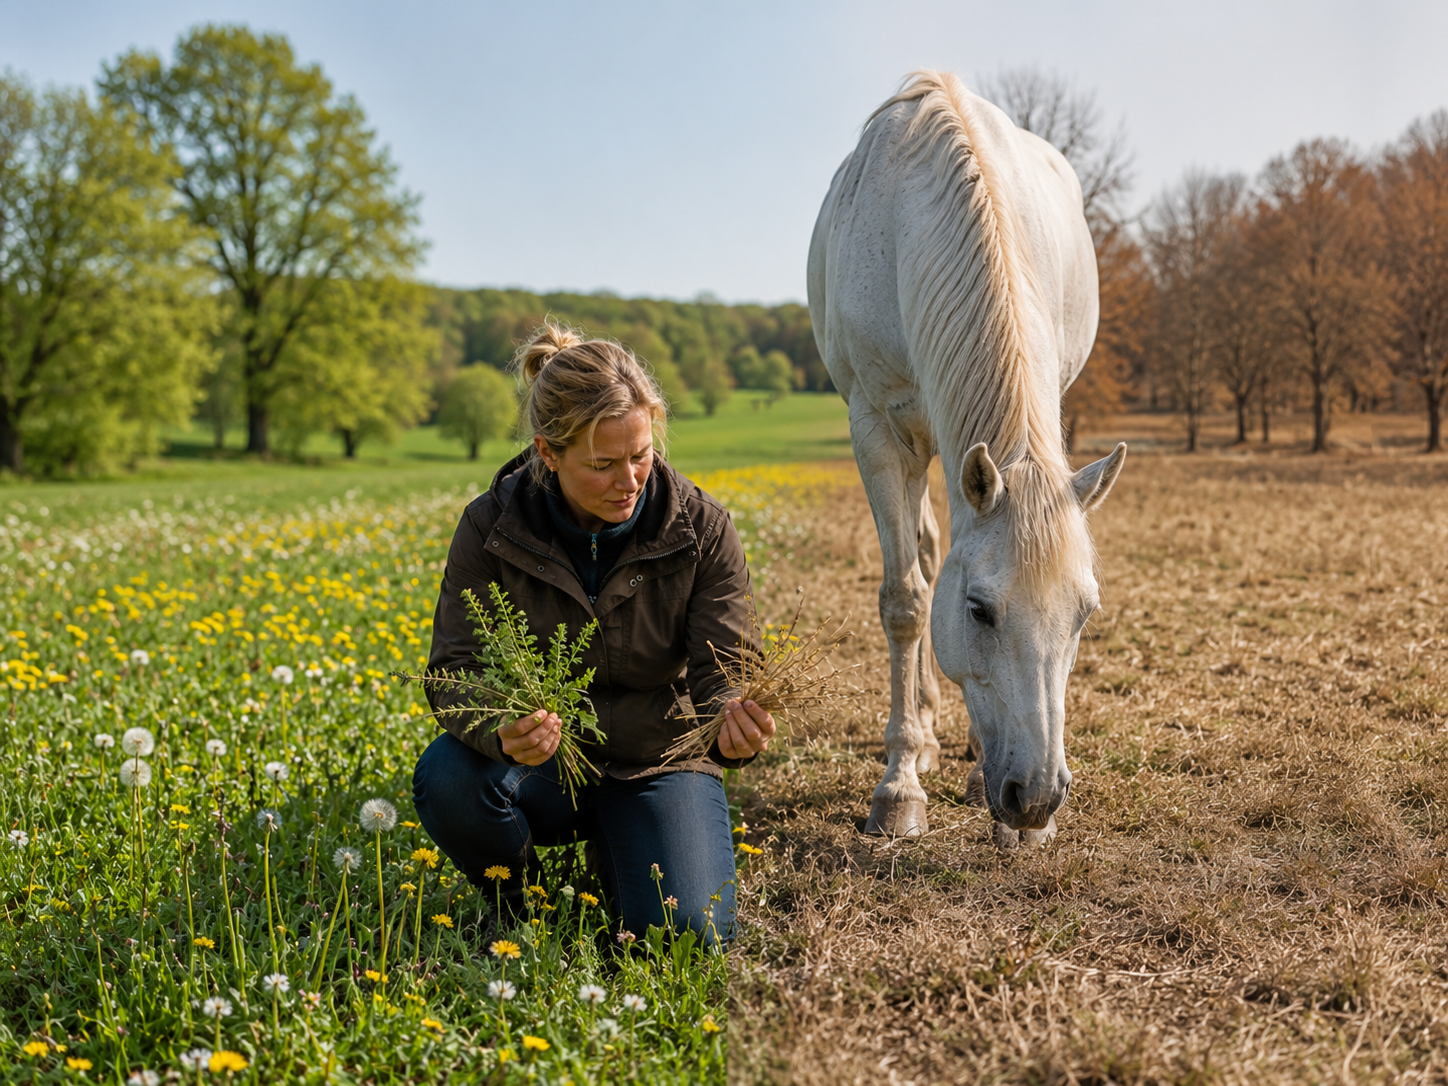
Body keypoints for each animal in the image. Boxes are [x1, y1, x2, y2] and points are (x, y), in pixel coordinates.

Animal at [807, 71, 1126, 846]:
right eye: (980, 611)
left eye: (1085, 614)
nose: (1036, 798)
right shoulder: (877, 432)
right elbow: (906, 600)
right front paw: (899, 787)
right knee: (923, 564)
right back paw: (922, 734)